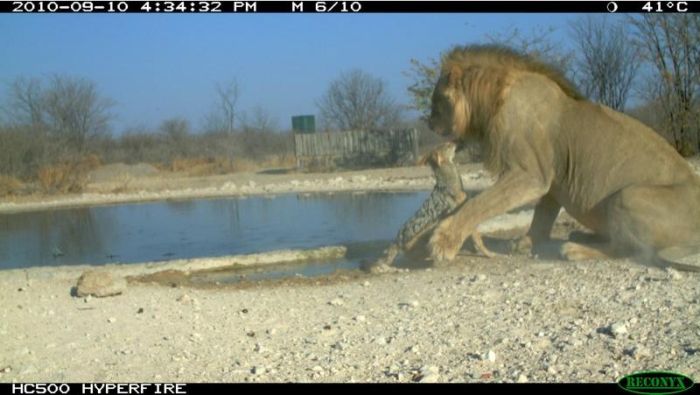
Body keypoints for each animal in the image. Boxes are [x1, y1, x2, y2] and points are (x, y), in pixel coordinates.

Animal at [426, 44, 700, 272]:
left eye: (436, 101)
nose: (428, 123)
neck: (491, 99)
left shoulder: (530, 174)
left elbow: (480, 203)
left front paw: (443, 242)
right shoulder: (552, 178)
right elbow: (542, 214)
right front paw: (526, 242)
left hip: (628, 195)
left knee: (628, 249)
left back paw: (576, 249)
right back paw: (581, 237)